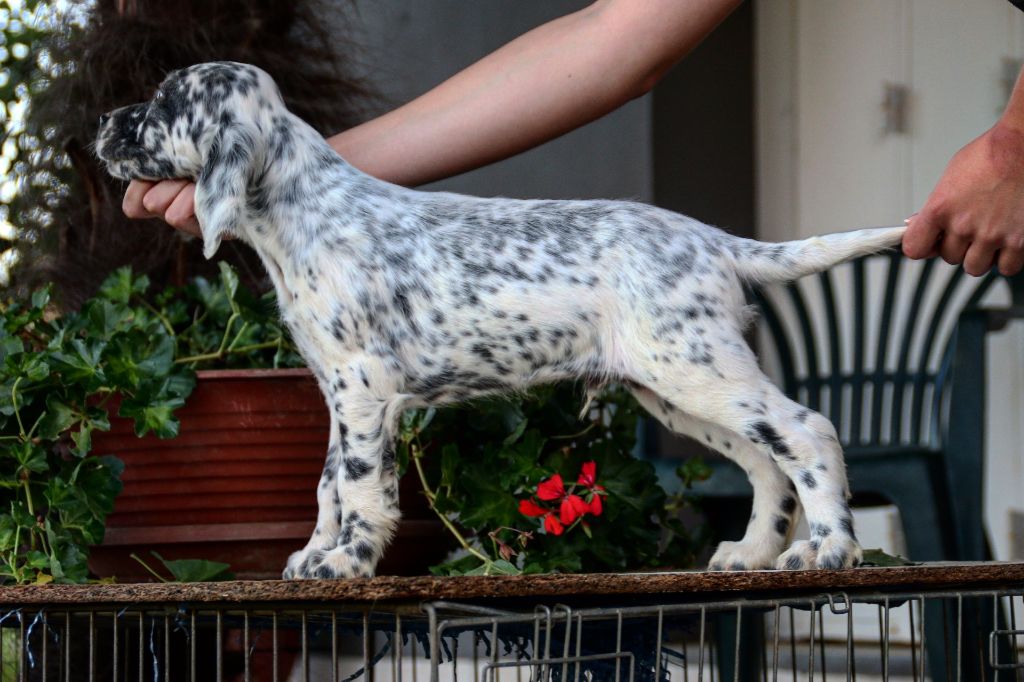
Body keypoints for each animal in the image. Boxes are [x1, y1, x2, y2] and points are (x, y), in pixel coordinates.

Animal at [96, 62, 906, 579]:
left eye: (162, 101)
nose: (102, 120)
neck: (302, 209)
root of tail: (710, 238)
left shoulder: (363, 388)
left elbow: (360, 491)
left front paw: (347, 563)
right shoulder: (337, 394)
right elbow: (328, 487)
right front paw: (314, 554)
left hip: (698, 368)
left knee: (806, 430)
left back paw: (829, 551)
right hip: (675, 387)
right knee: (766, 459)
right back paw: (753, 554)